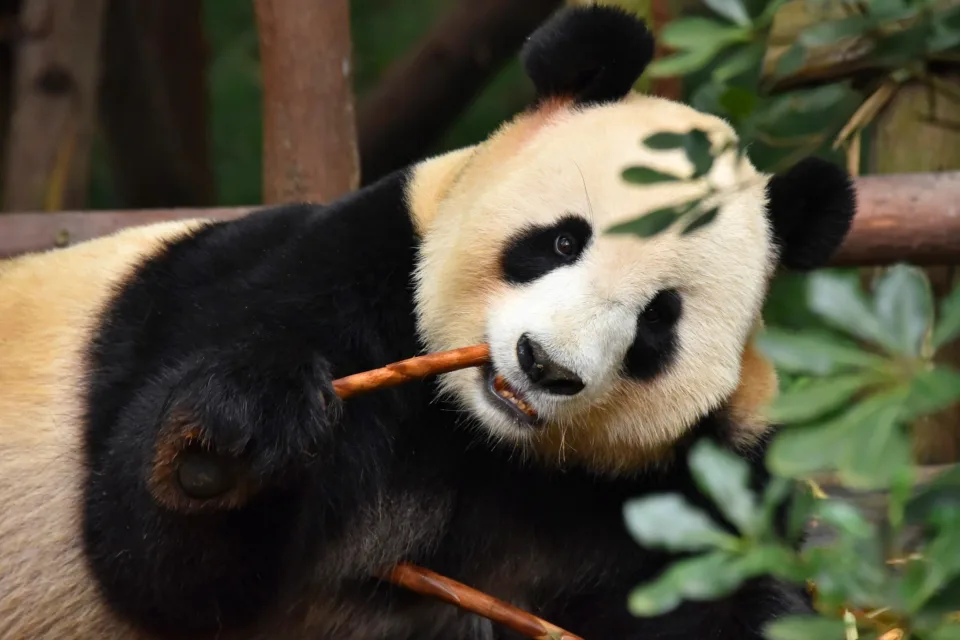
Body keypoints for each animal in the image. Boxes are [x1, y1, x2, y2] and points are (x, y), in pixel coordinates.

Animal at [0, 5, 856, 640]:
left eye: (657, 323)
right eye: (561, 241)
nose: (545, 367)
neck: (483, 441)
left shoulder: (686, 472)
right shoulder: (320, 283)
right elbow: (152, 567)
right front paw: (233, 440)